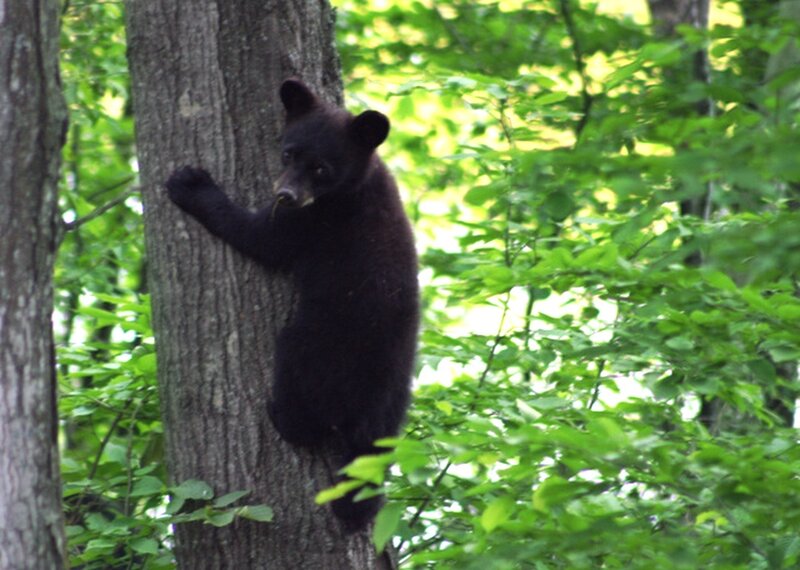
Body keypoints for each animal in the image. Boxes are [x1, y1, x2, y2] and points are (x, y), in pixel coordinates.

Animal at [164, 79, 419, 531]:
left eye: (321, 168)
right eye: (289, 152)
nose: (285, 194)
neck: (356, 184)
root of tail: (370, 408)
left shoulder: (313, 222)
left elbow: (260, 237)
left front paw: (191, 183)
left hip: (314, 347)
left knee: (301, 388)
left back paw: (281, 415)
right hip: (396, 401)